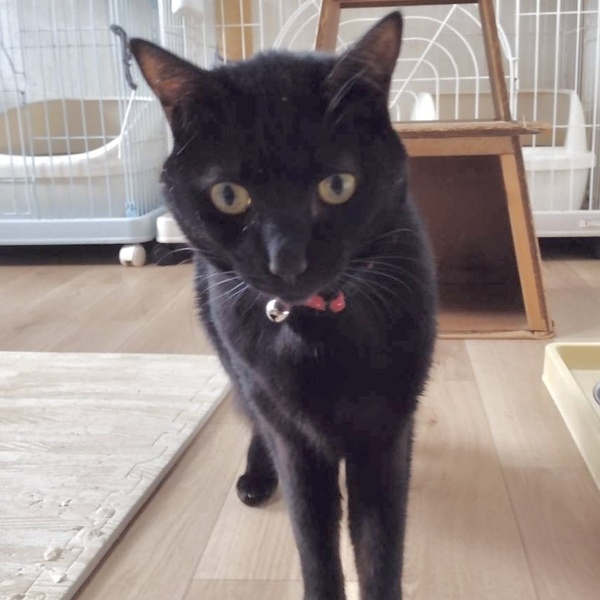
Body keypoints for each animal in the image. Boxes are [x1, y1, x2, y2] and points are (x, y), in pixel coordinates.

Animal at [131, 11, 437, 600]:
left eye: (337, 185)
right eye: (229, 195)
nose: (287, 259)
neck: (316, 330)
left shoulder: (384, 432)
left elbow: (380, 547)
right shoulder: (294, 438)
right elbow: (314, 542)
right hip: (235, 361)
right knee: (254, 417)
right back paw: (256, 475)